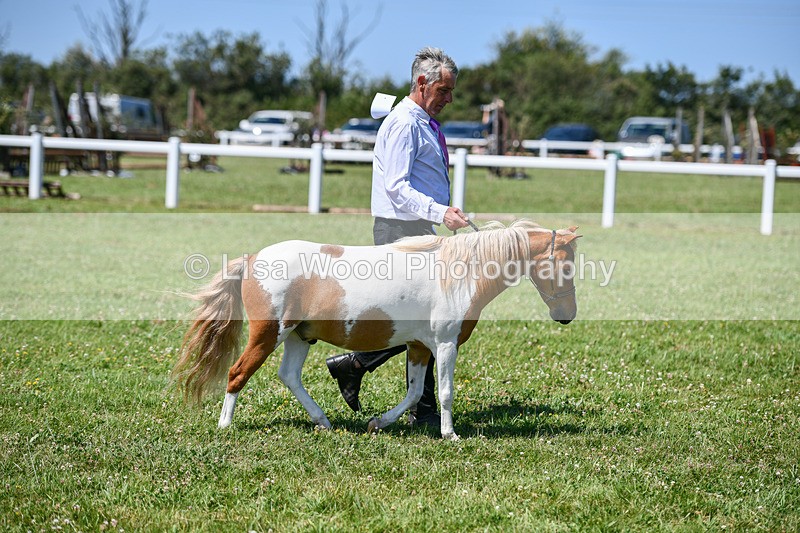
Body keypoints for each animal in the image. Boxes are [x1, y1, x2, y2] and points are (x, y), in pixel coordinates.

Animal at [172, 220, 580, 440]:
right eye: (566, 265)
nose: (567, 316)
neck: (460, 272)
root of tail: (253, 258)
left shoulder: (419, 347)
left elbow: (415, 393)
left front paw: (377, 423)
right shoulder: (445, 344)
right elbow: (445, 392)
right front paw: (450, 434)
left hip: (299, 337)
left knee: (288, 376)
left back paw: (323, 422)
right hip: (268, 334)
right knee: (237, 373)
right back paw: (226, 425)